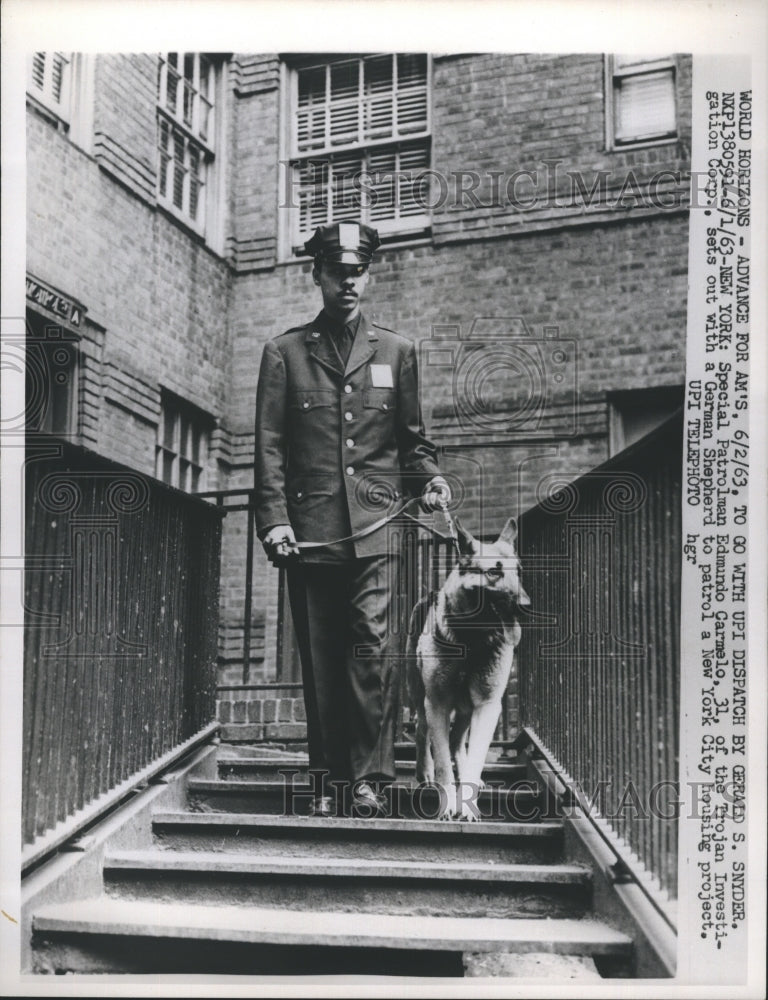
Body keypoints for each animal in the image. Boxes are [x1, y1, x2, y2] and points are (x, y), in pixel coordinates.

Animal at [408, 520, 528, 816]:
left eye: (519, 572)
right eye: (494, 572)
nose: (526, 607)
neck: (473, 641)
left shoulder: (487, 706)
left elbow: (475, 757)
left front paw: (468, 805)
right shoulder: (437, 703)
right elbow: (442, 762)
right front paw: (448, 805)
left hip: (466, 708)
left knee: (457, 740)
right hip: (421, 697)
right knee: (422, 732)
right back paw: (423, 772)